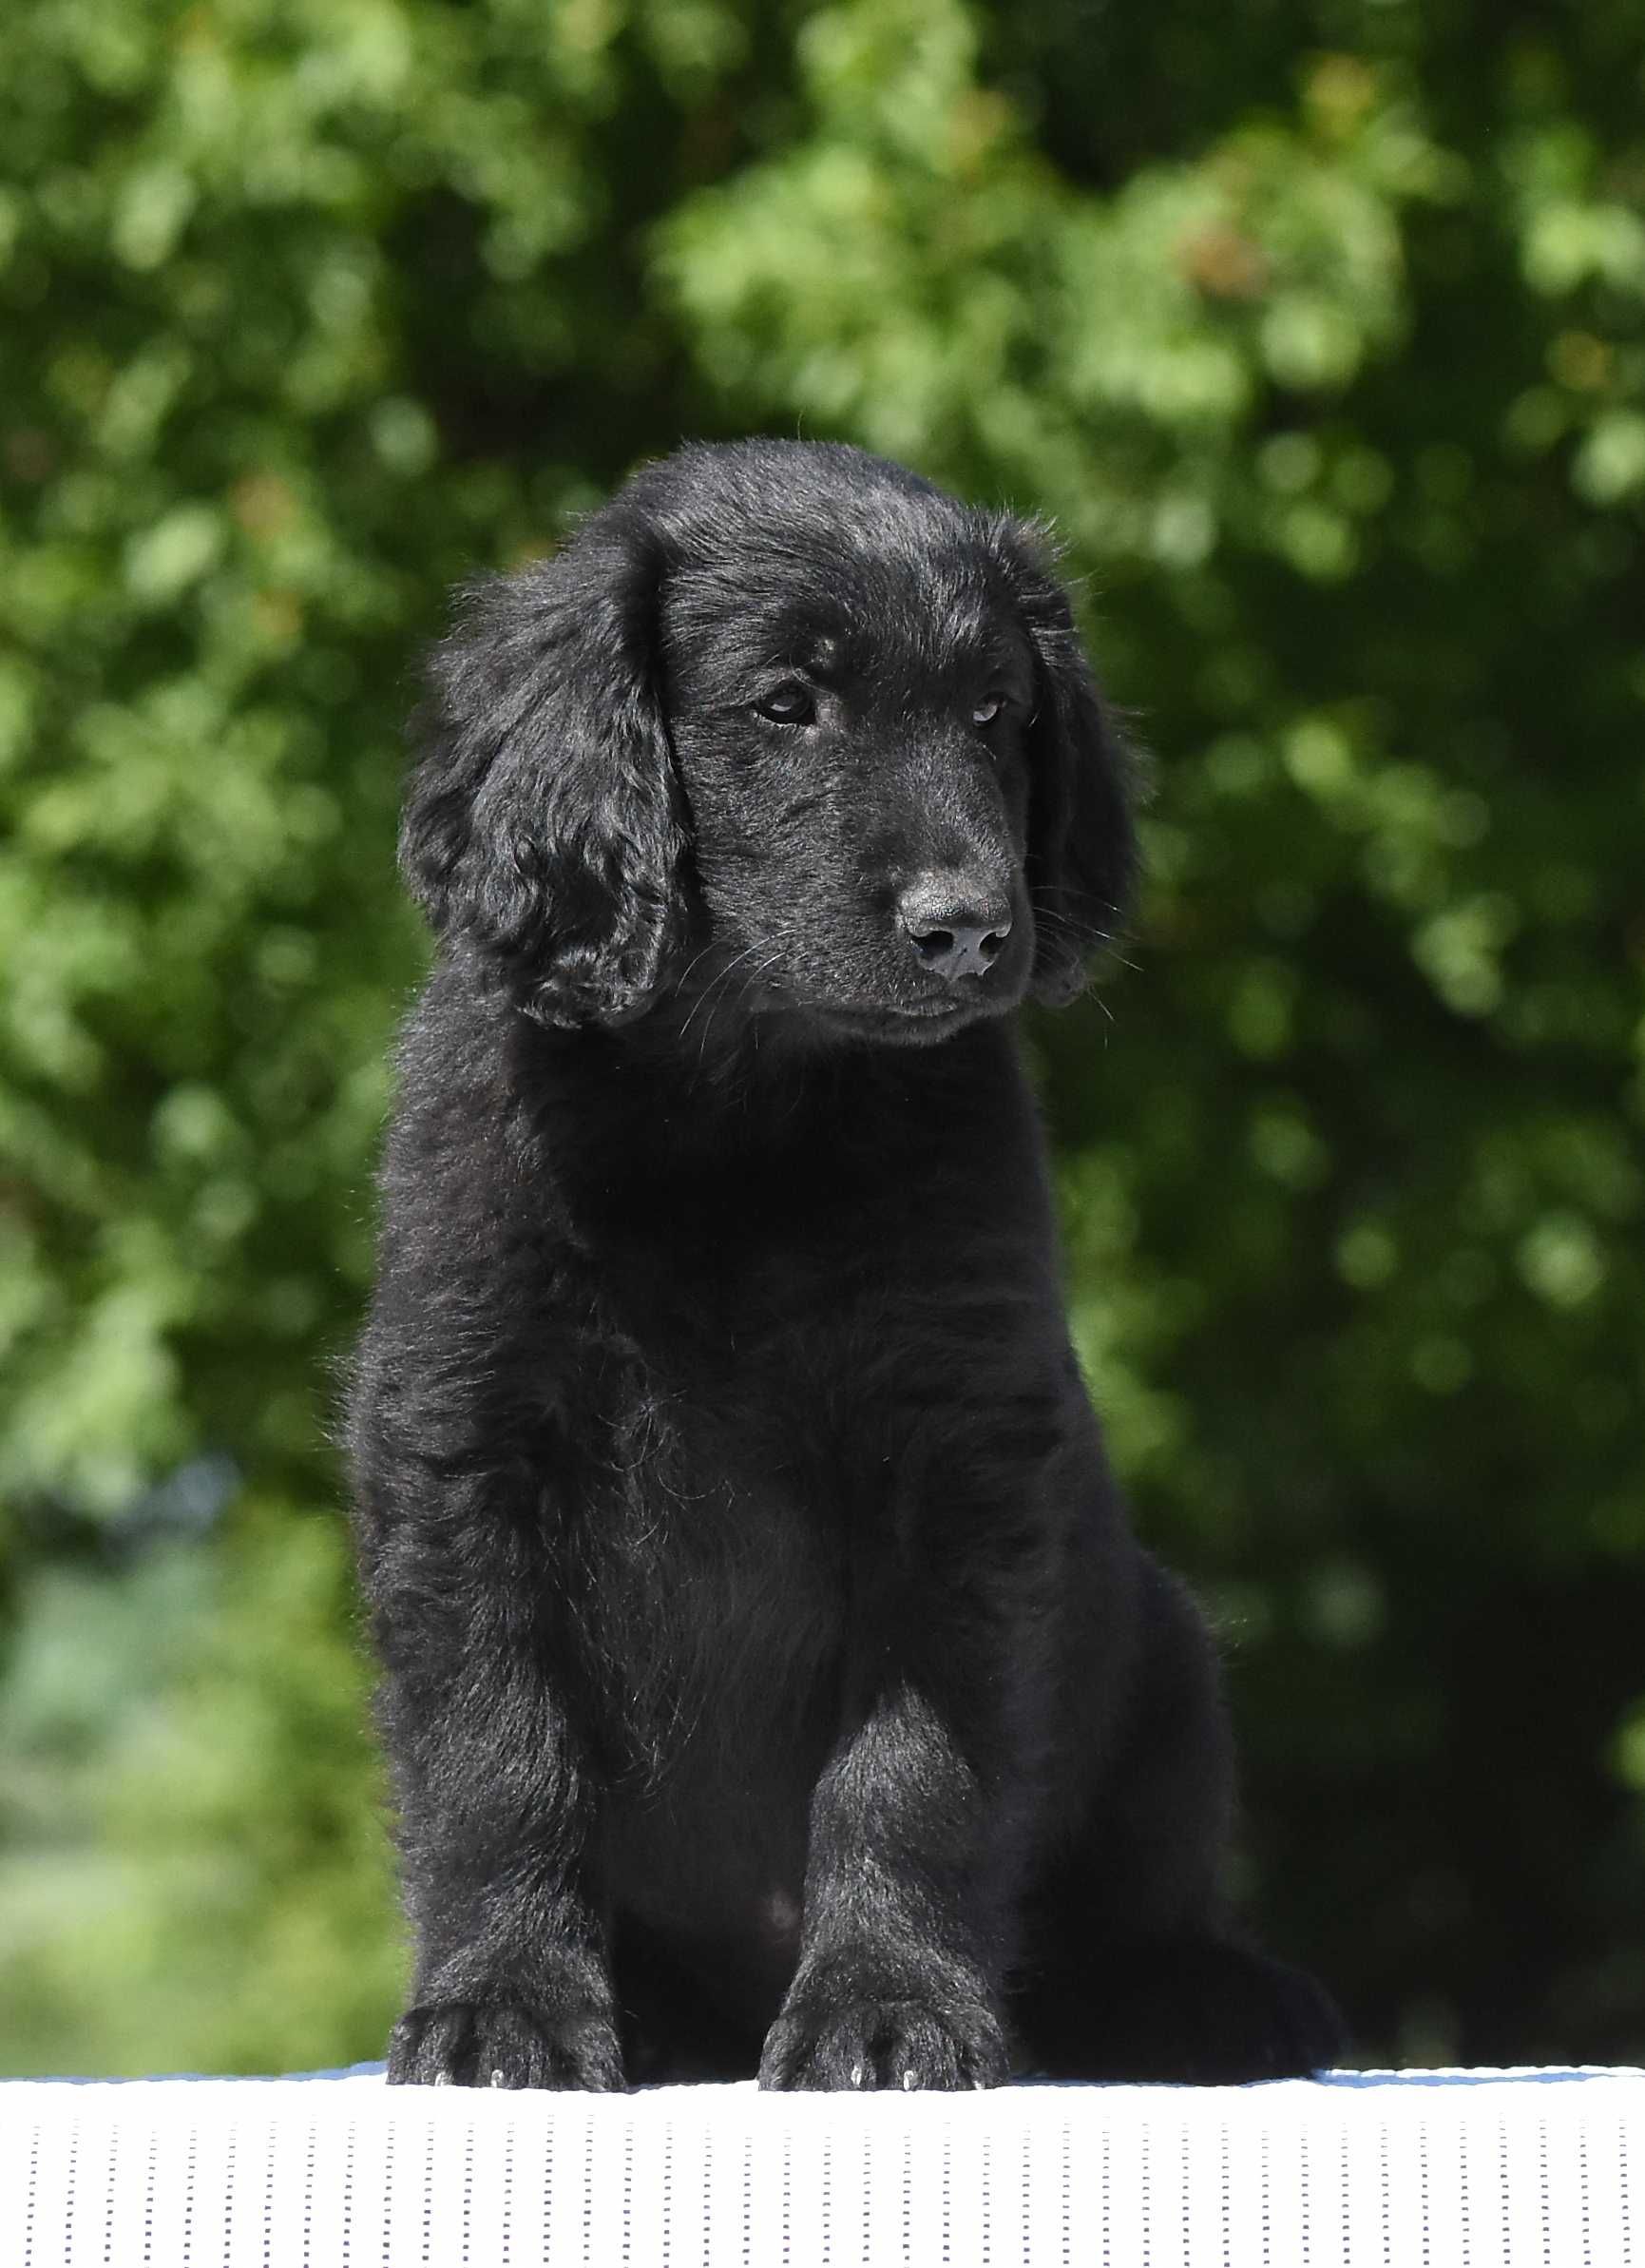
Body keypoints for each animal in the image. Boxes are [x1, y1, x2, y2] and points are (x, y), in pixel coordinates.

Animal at [354, 432, 1343, 2077]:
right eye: (783, 705)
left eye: (996, 712)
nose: (969, 927)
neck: (738, 1116)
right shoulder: (461, 1439)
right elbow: (498, 1755)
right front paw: (505, 2001)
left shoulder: (955, 1457)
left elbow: (912, 1766)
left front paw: (889, 2000)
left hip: (1165, 1660)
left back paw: (1200, 1986)